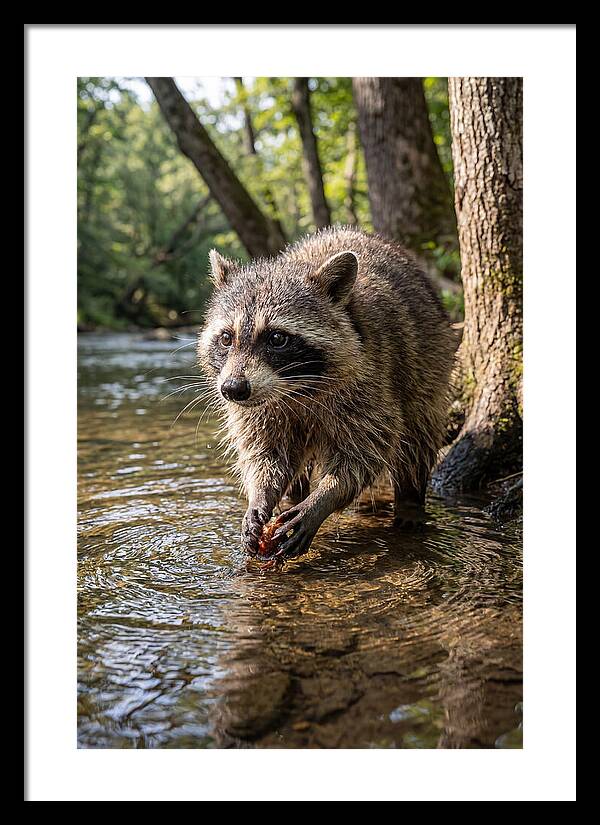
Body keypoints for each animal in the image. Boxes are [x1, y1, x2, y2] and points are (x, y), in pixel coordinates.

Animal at [198, 227, 455, 560]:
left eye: (277, 338)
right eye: (227, 338)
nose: (232, 390)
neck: (295, 388)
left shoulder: (370, 381)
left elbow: (366, 452)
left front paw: (324, 498)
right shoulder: (259, 408)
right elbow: (265, 453)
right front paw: (260, 495)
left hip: (429, 363)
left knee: (417, 439)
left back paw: (410, 501)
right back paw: (293, 496)